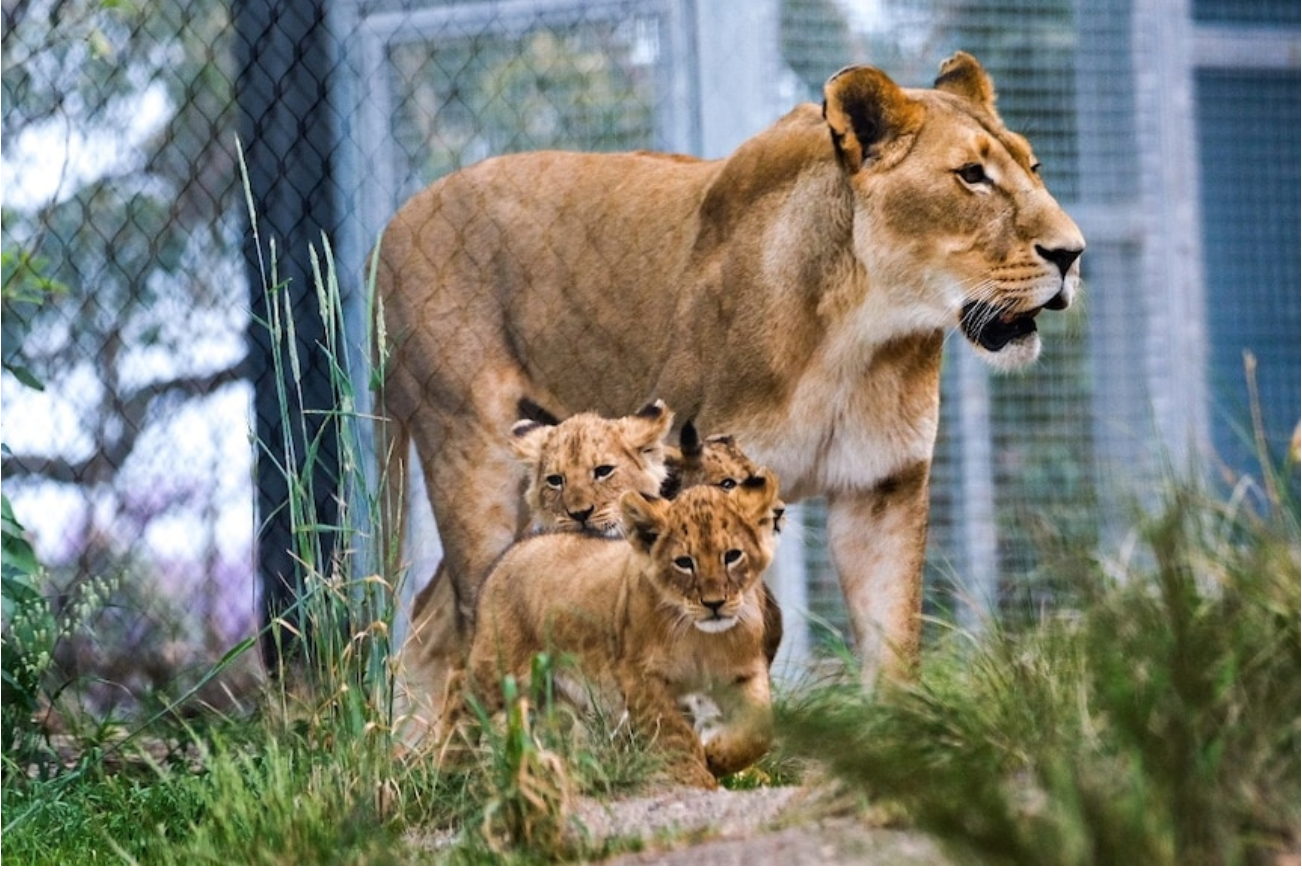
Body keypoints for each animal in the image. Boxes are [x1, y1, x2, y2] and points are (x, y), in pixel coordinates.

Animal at [378, 52, 1084, 739]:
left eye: (1034, 166)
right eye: (971, 176)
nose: (1073, 253)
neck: (859, 335)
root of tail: (397, 221)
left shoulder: (882, 489)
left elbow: (891, 645)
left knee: (434, 618)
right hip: (473, 460)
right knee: (481, 610)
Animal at [463, 473, 784, 789]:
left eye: (732, 556)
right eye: (684, 563)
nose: (714, 604)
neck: (700, 637)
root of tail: (509, 554)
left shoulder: (744, 672)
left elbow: (759, 732)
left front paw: (715, 757)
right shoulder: (639, 675)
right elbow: (673, 733)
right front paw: (697, 778)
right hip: (499, 675)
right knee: (472, 717)